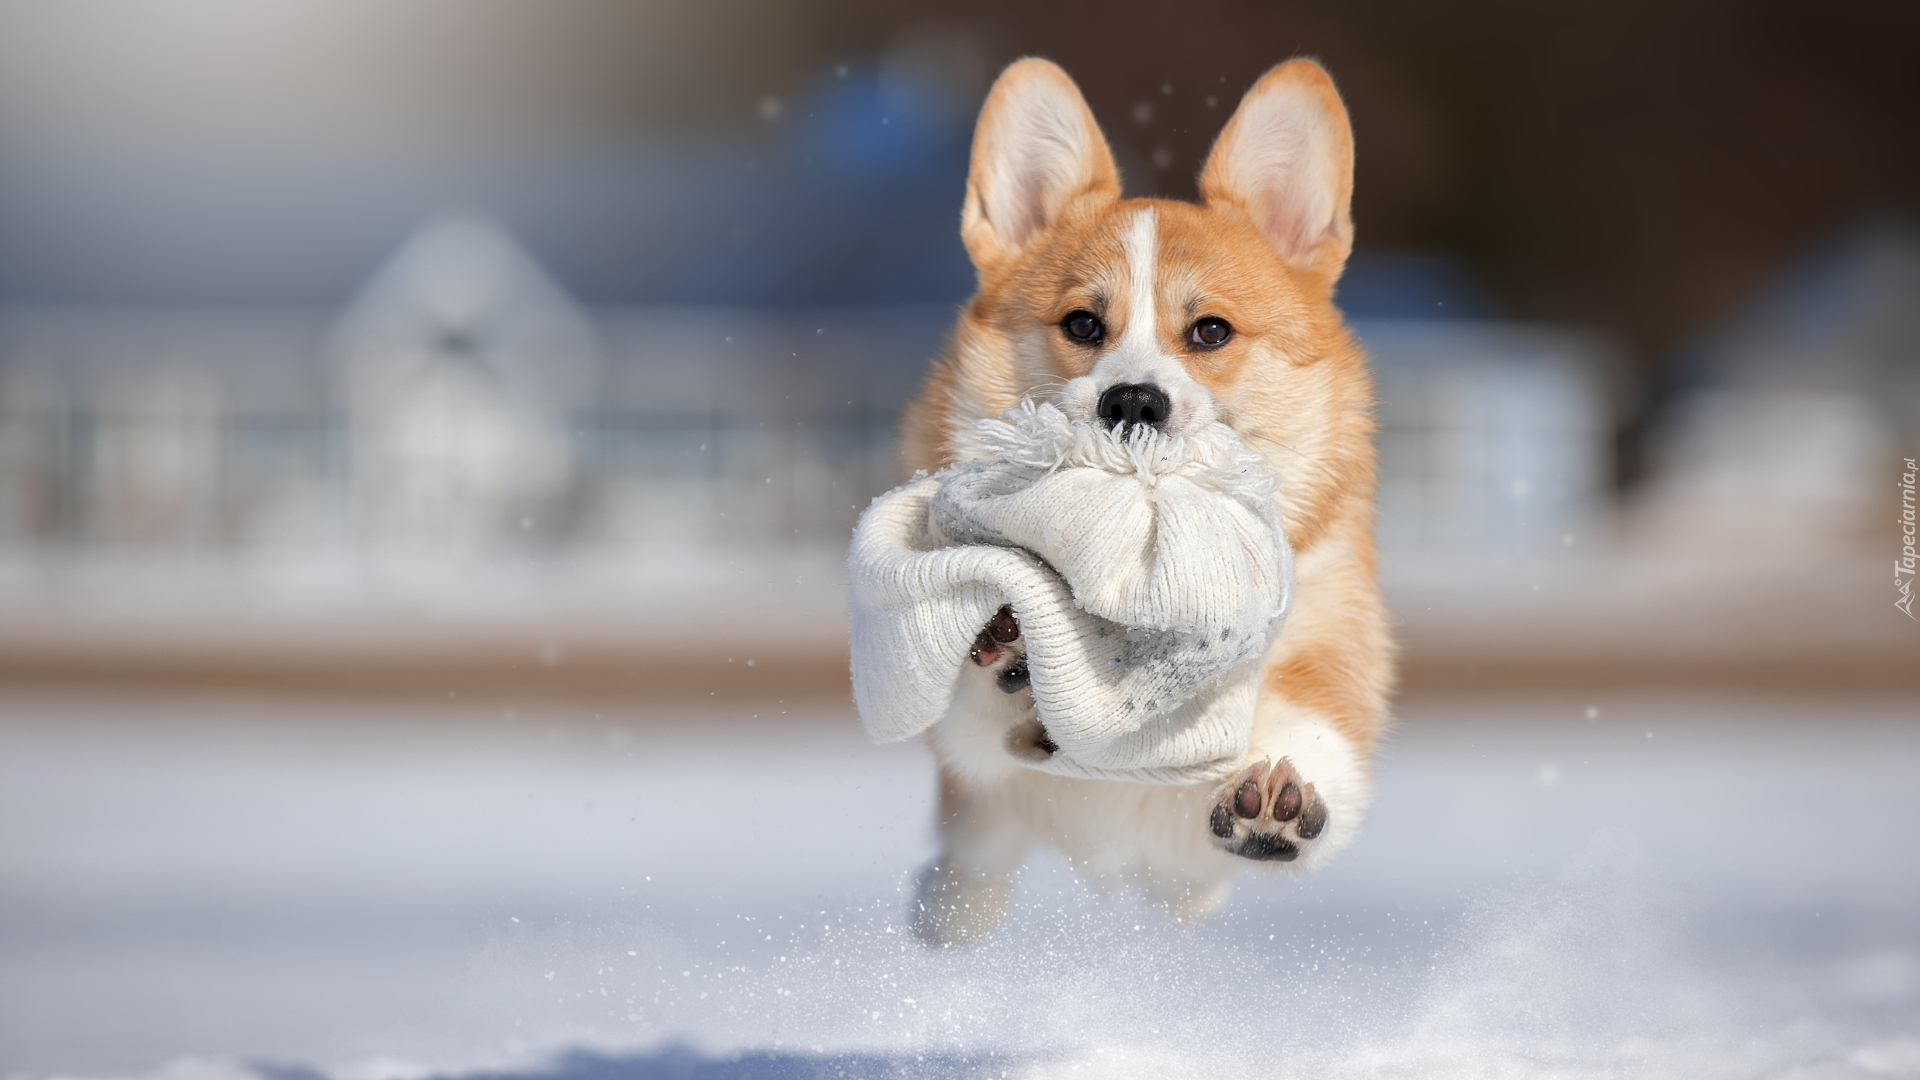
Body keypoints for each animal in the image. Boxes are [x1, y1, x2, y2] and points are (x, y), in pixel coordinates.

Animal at [890, 56, 1390, 941]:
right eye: (1083, 324)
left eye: (1211, 331)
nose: (1133, 400)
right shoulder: (978, 752)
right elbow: (978, 722)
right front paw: (1015, 652)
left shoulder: (1329, 641)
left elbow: (1314, 722)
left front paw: (1278, 798)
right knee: (971, 871)